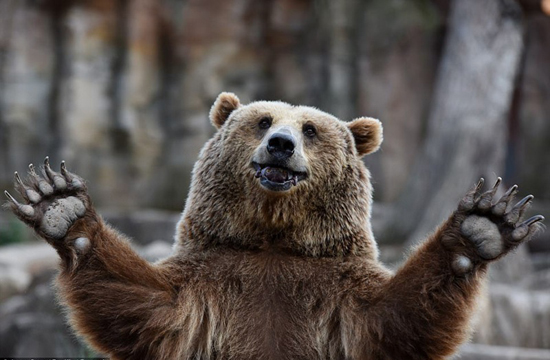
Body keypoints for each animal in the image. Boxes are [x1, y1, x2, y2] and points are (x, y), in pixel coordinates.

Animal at [4, 91, 548, 358]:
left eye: (310, 129)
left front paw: (483, 224)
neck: (274, 239)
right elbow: (142, 304)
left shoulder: (335, 287)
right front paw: (60, 206)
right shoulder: (213, 277)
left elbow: (398, 317)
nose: (281, 146)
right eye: (262, 120)